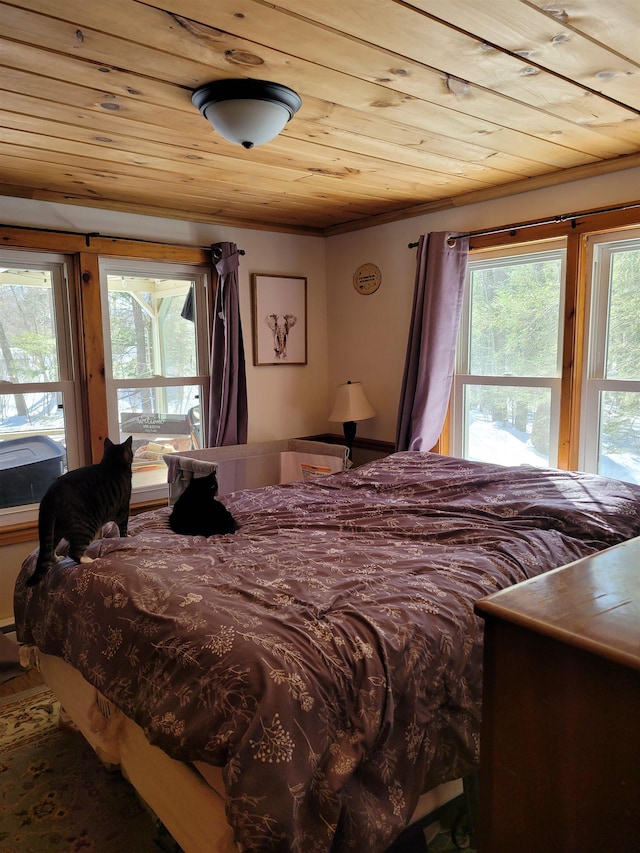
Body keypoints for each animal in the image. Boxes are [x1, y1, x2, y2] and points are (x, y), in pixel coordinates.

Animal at [26, 440, 134, 584]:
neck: (112, 464)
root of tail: (50, 495)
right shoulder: (123, 508)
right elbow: (123, 528)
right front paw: (126, 537)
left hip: (55, 529)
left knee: (49, 550)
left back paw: (58, 559)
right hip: (86, 525)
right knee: (74, 552)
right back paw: (90, 560)